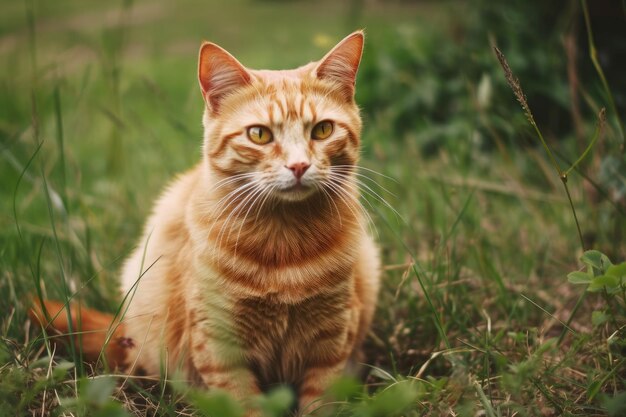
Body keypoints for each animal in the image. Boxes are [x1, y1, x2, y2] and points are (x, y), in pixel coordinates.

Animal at [31, 31, 378, 412]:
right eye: (259, 135)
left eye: (322, 130)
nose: (299, 165)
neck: (284, 243)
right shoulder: (220, 347)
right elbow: (245, 404)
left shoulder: (331, 343)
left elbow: (321, 402)